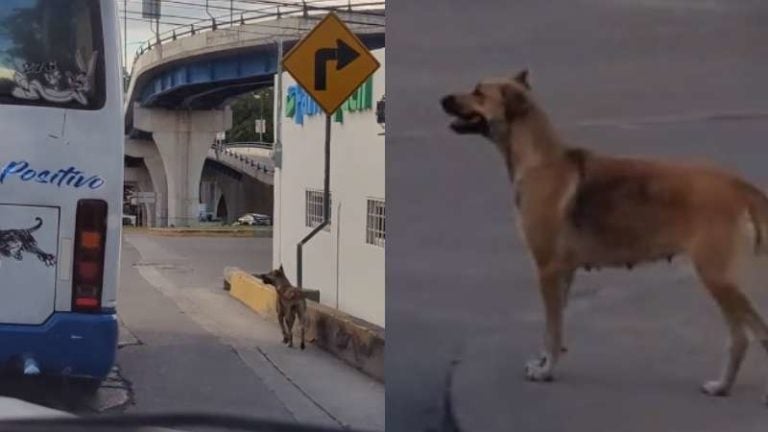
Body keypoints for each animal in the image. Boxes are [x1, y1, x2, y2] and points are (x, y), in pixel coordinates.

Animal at [440, 69, 768, 404]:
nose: (443, 99)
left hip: (717, 278)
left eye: (479, 93)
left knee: (749, 335)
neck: (539, 161)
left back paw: (722, 385)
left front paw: (546, 371)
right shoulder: (564, 273)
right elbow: (554, 328)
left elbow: (552, 329)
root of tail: (737, 184)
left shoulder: (547, 270)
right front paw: (545, 362)